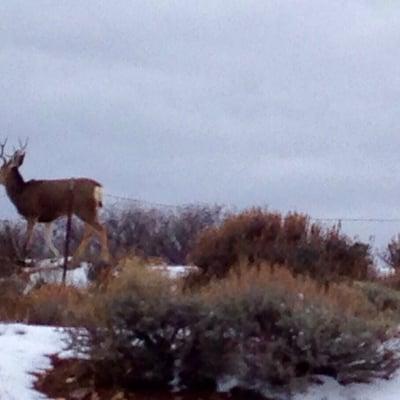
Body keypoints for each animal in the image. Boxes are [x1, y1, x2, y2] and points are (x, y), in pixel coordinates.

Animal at [0, 138, 110, 266]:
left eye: (0, 169)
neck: (20, 193)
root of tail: (98, 187)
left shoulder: (32, 214)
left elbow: (27, 240)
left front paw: (22, 260)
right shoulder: (48, 219)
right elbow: (47, 240)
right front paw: (57, 257)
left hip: (84, 208)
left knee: (101, 229)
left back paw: (104, 258)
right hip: (92, 210)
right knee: (90, 232)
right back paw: (74, 259)